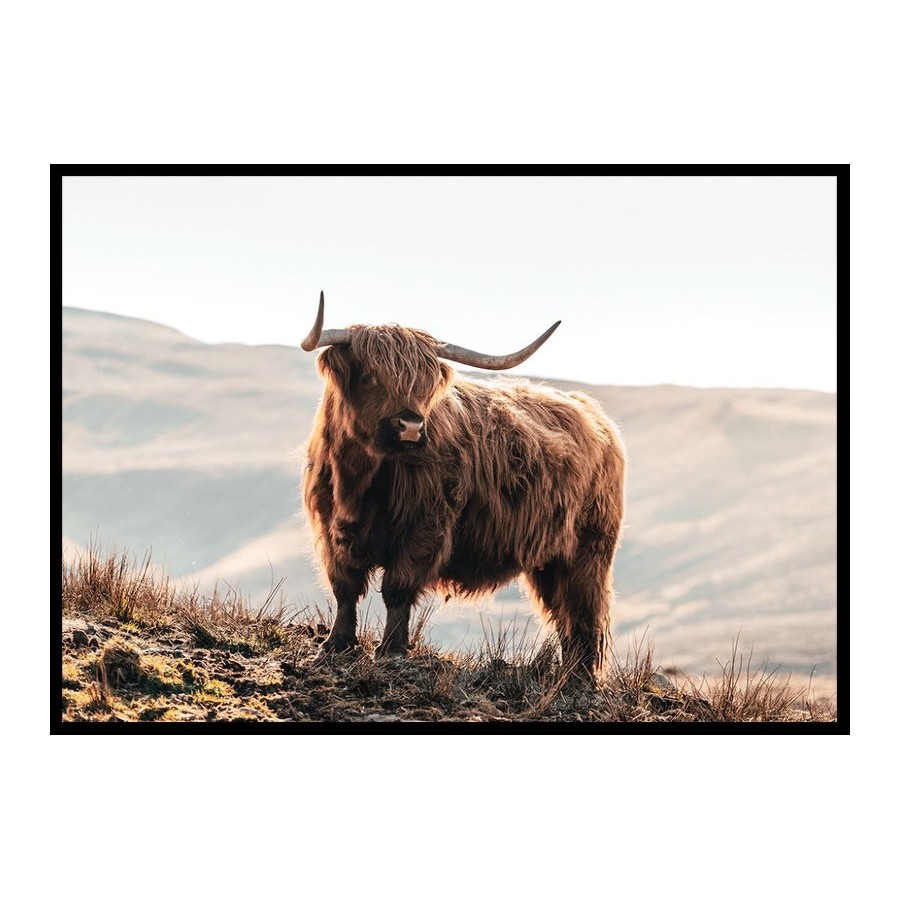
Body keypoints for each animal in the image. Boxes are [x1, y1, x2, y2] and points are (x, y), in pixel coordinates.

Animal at [301, 292, 626, 680]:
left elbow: (397, 588)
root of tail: (593, 413)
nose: (411, 426)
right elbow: (345, 587)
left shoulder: (425, 526)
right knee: (563, 613)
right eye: (368, 376)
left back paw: (580, 678)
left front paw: (392, 650)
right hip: (549, 560)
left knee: (583, 610)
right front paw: (336, 645)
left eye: (425, 384)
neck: (359, 480)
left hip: (588, 551)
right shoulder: (330, 526)